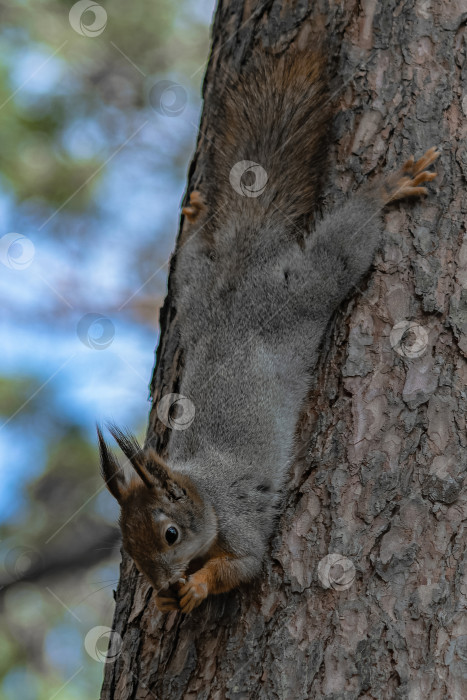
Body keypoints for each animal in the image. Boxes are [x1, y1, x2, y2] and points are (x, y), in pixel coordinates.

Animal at [97, 47, 440, 612]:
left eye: (170, 534)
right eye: (127, 544)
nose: (161, 585)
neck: (203, 489)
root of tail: (241, 274)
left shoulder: (238, 516)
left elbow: (245, 565)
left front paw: (194, 587)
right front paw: (169, 601)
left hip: (303, 289)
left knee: (339, 248)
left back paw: (384, 189)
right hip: (192, 294)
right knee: (193, 257)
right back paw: (198, 213)